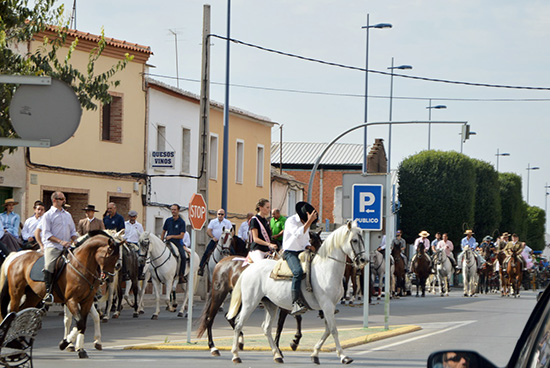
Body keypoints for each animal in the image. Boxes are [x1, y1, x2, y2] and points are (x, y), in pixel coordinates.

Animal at [226, 220, 368, 364]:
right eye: (354, 240)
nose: (364, 260)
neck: (326, 270)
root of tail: (249, 269)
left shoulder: (329, 307)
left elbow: (327, 330)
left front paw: (315, 354)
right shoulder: (327, 305)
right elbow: (333, 330)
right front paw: (344, 356)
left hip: (271, 305)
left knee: (266, 328)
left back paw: (277, 355)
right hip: (250, 303)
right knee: (238, 324)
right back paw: (236, 355)